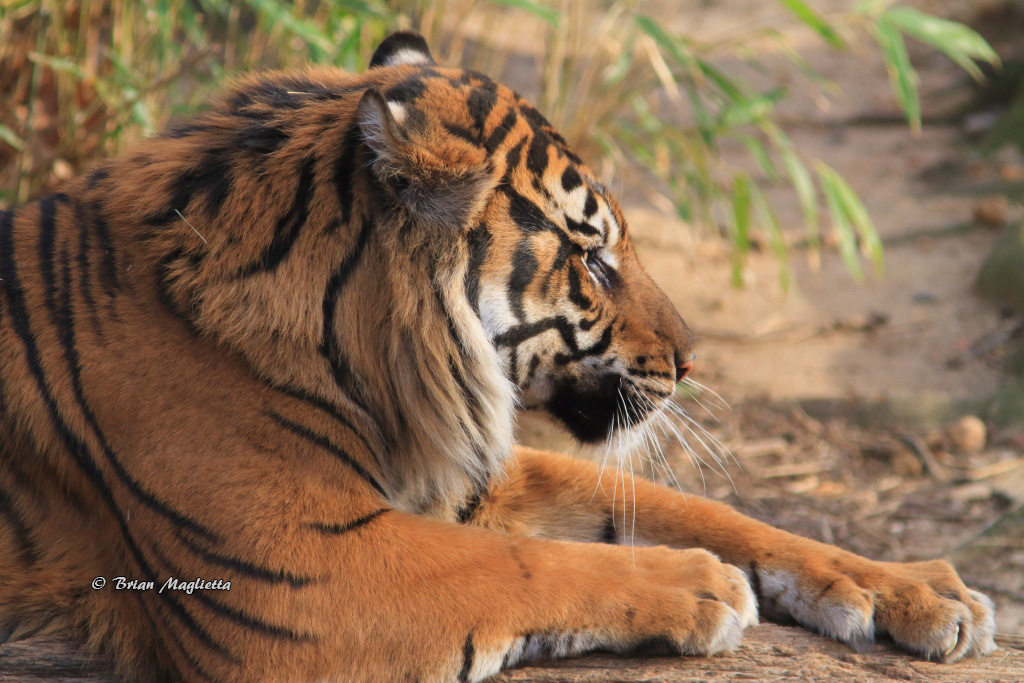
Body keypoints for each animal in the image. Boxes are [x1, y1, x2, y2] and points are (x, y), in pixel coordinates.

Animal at [0, 31, 996, 682]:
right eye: (592, 257)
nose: (693, 359)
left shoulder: (470, 478)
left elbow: (715, 514)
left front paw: (923, 590)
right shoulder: (297, 573)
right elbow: (526, 567)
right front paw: (699, 584)